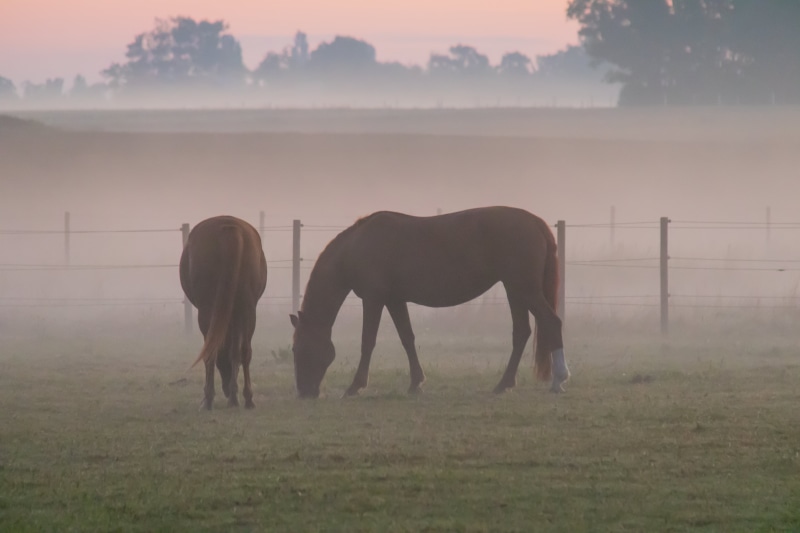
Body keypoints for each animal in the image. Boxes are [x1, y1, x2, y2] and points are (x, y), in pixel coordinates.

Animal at [179, 215, 267, 410]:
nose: (226, 389)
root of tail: (230, 227)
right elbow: (236, 352)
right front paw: (234, 396)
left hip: (207, 309)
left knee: (210, 350)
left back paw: (209, 399)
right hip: (247, 308)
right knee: (245, 350)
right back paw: (247, 399)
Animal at [289, 206, 570, 399]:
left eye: (297, 349)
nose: (304, 392)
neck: (357, 246)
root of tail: (535, 222)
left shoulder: (373, 299)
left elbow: (367, 342)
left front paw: (355, 386)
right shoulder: (395, 300)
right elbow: (407, 338)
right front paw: (416, 382)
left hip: (525, 290)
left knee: (552, 323)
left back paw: (559, 380)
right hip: (515, 291)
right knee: (521, 333)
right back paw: (504, 384)